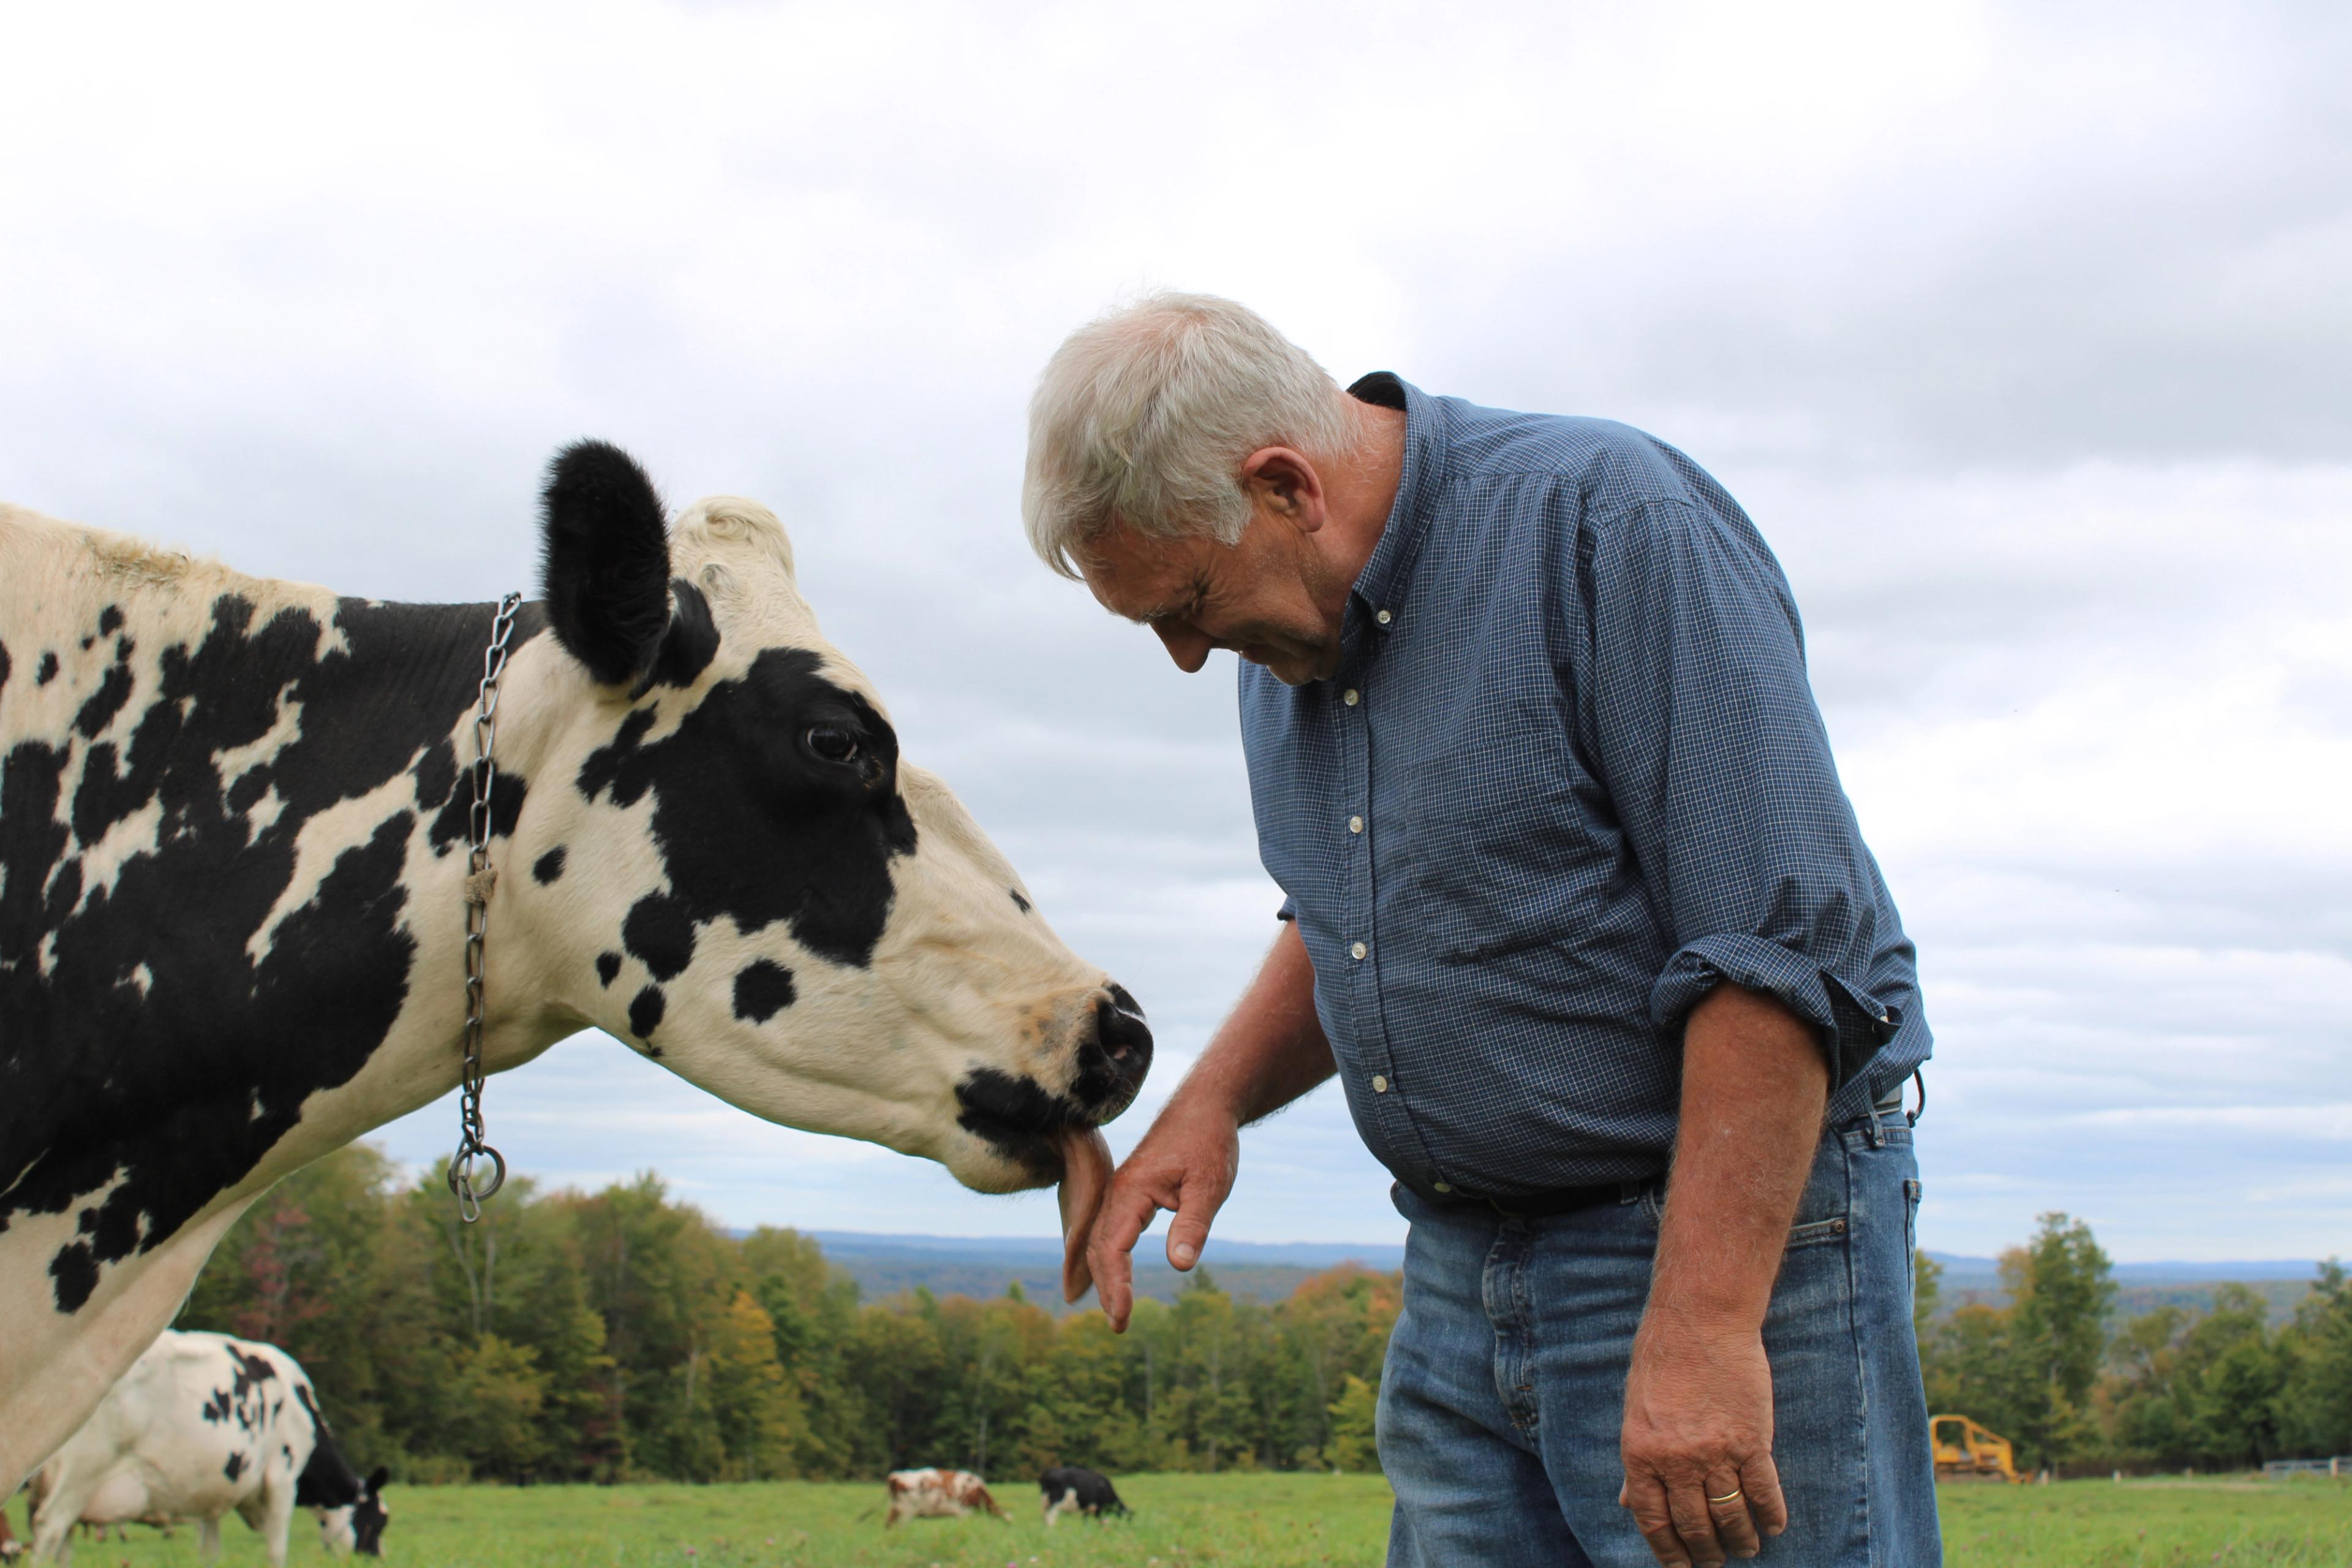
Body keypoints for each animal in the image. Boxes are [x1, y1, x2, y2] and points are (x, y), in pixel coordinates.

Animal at [26, 1330, 387, 1566]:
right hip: (82, 1472)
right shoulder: (282, 1479)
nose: (378, 1559)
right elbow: (277, 1551)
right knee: (49, 1528)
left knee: (62, 1543)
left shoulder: (211, 1496)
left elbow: (210, 1552)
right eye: (380, 1519)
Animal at [1038, 1464, 1128, 1525]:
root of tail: (1049, 1472)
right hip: (1056, 1503)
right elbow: (1100, 1521)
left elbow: (1085, 1521)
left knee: (1045, 1518)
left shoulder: (1087, 1509)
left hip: (1045, 1502)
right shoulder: (1098, 1508)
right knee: (1051, 1519)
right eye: (1129, 1519)